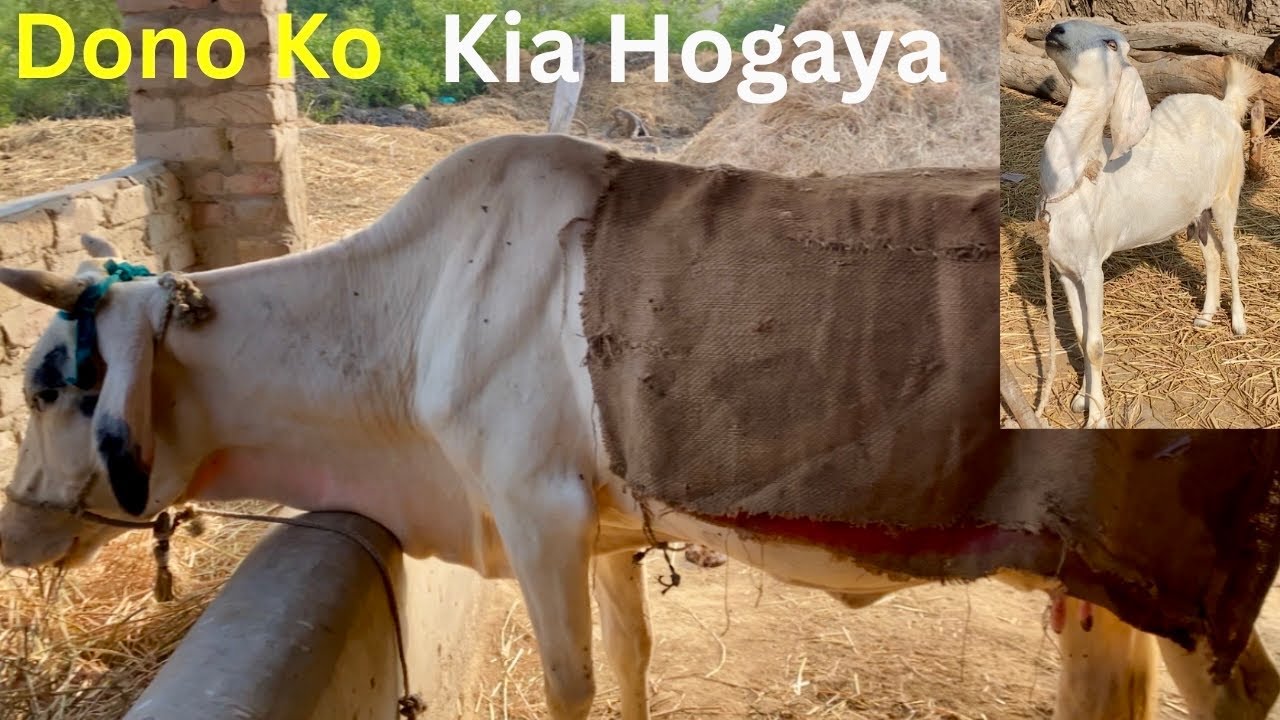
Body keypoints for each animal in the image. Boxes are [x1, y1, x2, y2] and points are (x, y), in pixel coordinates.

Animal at [1035, 20, 1259, 428]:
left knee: (1233, 253)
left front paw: (1097, 418)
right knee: (1212, 254)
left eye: (1112, 44)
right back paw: (1205, 316)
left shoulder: (1092, 268)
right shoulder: (1065, 269)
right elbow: (1081, 335)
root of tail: (1225, 105)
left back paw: (1237, 321)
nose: (1056, 30)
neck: (1079, 178)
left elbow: (1095, 344)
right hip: (1197, 209)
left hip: (1227, 194)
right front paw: (1081, 400)